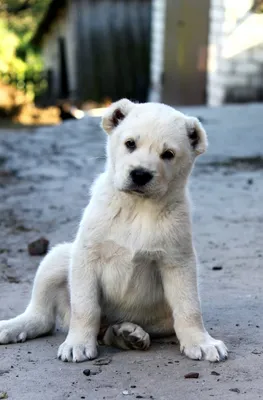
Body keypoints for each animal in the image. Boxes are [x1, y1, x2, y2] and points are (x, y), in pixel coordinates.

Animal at [0, 99, 228, 362]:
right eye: (130, 144)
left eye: (168, 154)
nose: (140, 174)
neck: (137, 208)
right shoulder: (87, 256)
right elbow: (85, 308)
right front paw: (78, 343)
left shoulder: (178, 262)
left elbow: (189, 306)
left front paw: (200, 341)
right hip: (57, 258)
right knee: (42, 316)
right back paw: (13, 326)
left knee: (108, 330)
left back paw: (127, 334)